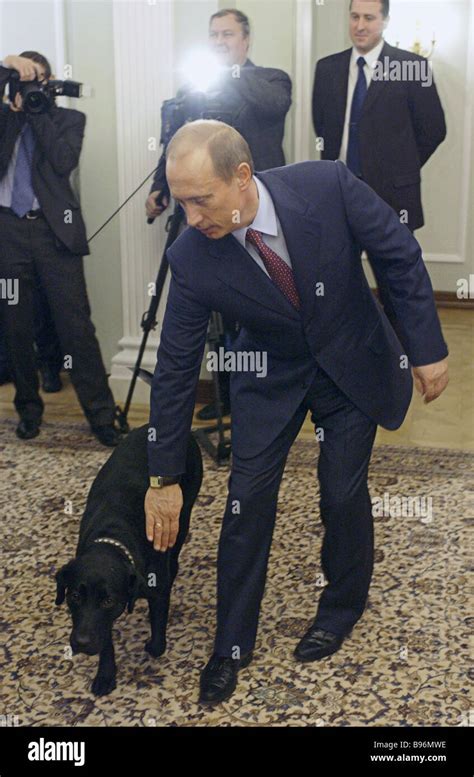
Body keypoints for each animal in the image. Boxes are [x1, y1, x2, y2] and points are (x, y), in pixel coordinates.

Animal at [54, 424, 203, 696]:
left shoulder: (155, 590)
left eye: (108, 600)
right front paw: (105, 675)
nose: (81, 643)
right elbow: (106, 639)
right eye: (75, 596)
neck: (113, 537)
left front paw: (153, 645)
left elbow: (158, 634)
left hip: (182, 514)